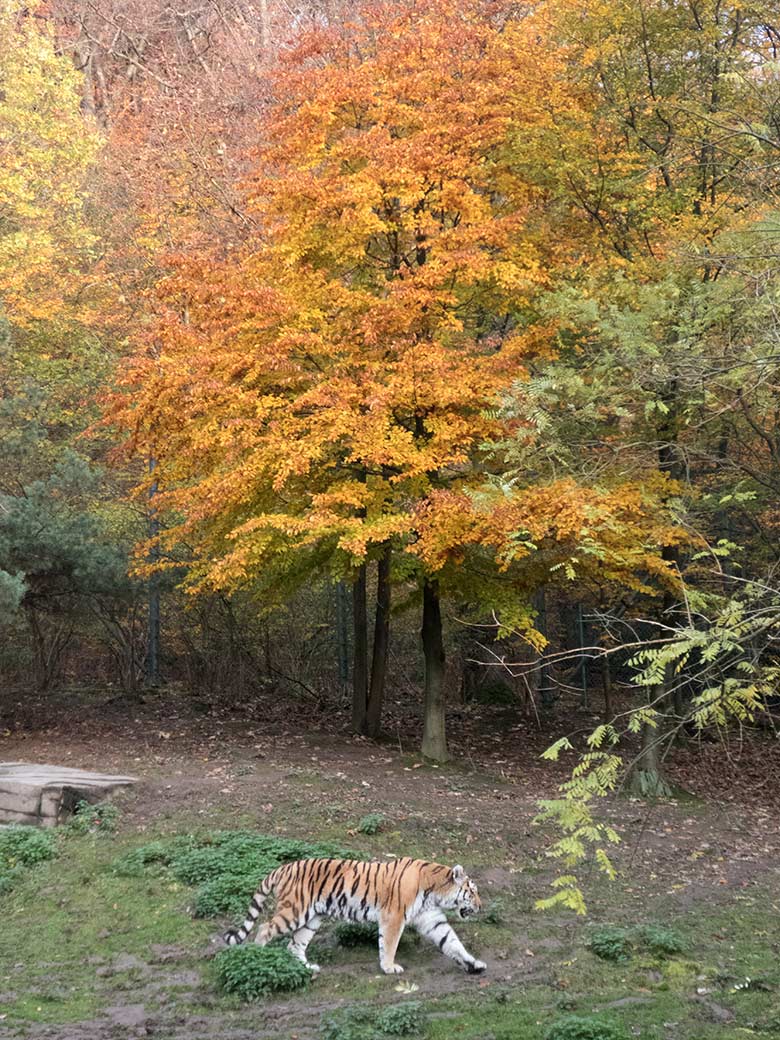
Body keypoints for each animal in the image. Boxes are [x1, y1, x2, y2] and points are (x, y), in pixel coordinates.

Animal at [222, 852, 486, 973]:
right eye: (472, 892)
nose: (481, 906)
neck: (435, 891)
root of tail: (284, 867)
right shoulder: (393, 917)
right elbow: (389, 944)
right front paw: (389, 967)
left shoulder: (432, 919)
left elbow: (452, 942)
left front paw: (474, 964)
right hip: (294, 912)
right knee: (264, 928)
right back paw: (257, 958)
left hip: (311, 920)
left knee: (294, 945)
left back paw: (307, 968)